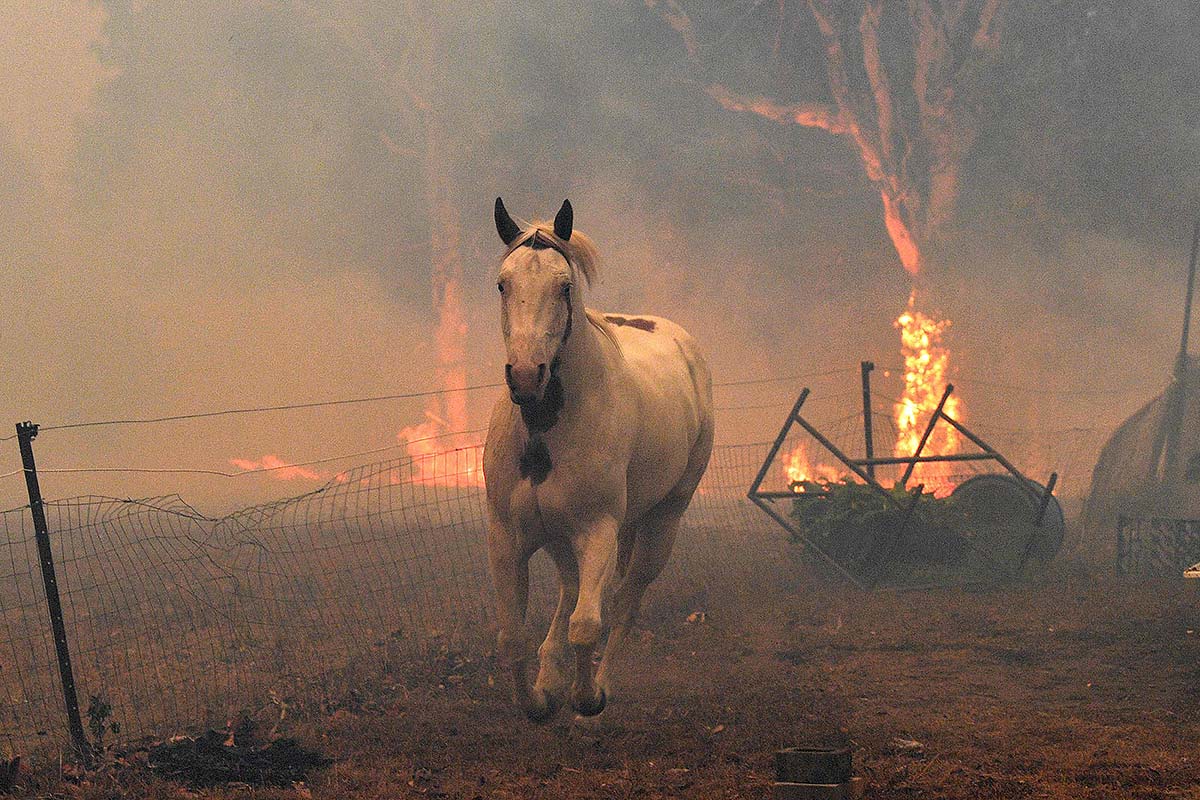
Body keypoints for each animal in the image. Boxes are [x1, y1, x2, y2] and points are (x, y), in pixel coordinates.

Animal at [483, 198, 714, 720]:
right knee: (571, 591)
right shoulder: (508, 538)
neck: (545, 432)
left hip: (661, 521)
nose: (526, 376)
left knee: (625, 601)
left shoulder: (599, 531)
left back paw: (600, 685)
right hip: (561, 537)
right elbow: (511, 637)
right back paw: (551, 676)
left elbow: (588, 624)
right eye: (504, 283)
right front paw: (538, 701)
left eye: (564, 286)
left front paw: (586, 698)